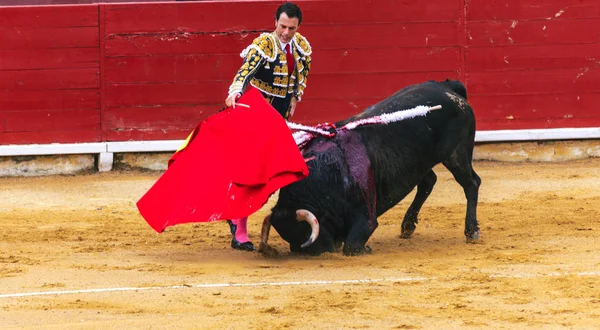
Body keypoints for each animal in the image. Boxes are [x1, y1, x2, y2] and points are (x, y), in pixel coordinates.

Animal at [258, 79, 482, 255]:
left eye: (304, 234)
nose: (311, 252)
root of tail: (447, 87)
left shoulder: (365, 218)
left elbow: (352, 246)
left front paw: (364, 248)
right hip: (422, 160)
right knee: (428, 181)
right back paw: (408, 226)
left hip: (456, 154)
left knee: (471, 183)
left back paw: (472, 231)